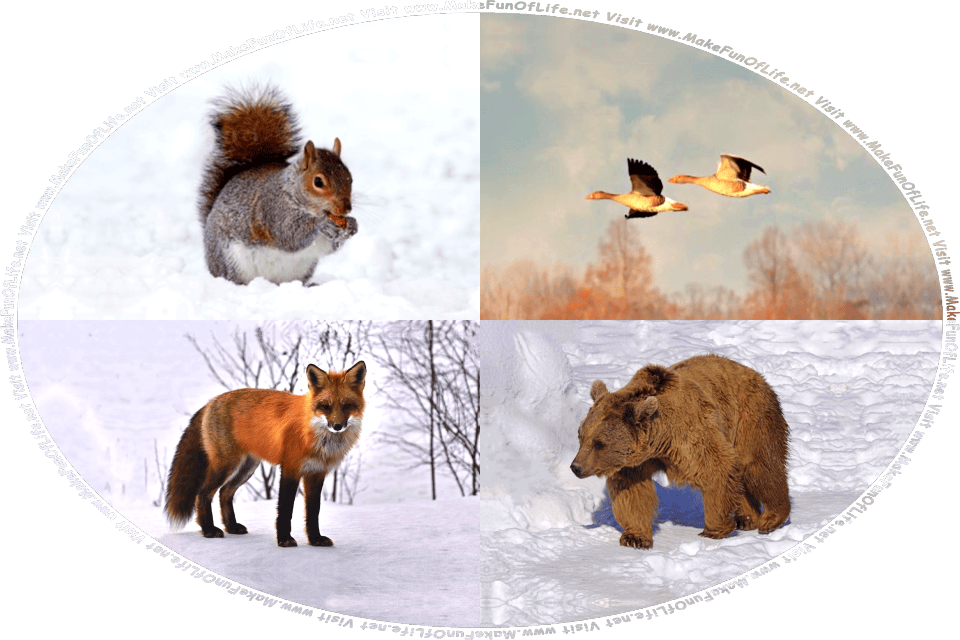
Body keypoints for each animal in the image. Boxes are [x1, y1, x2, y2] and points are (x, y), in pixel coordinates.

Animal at [165, 361, 365, 547]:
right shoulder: (290, 469)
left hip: (246, 468)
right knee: (203, 494)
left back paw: (231, 527)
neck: (316, 435)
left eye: (347, 405)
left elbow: (313, 512)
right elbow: (285, 509)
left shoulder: (316, 473)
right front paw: (284, 539)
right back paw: (208, 530)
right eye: (325, 406)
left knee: (224, 493)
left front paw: (315, 539)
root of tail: (211, 402)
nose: (337, 426)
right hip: (226, 465)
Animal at [199, 86, 357, 285]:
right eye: (318, 181)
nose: (346, 209)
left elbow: (328, 246)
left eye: (350, 178)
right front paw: (322, 223)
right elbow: (289, 235)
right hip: (231, 261)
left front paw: (352, 225)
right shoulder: (273, 209)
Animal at [570, 354, 790, 549]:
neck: (658, 440)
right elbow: (632, 492)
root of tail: (751, 372)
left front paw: (714, 529)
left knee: (759, 466)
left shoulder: (690, 434)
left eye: (599, 443)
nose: (576, 467)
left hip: (750, 417)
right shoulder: (635, 461)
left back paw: (771, 518)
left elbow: (716, 467)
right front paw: (635, 538)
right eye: (581, 436)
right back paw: (747, 518)